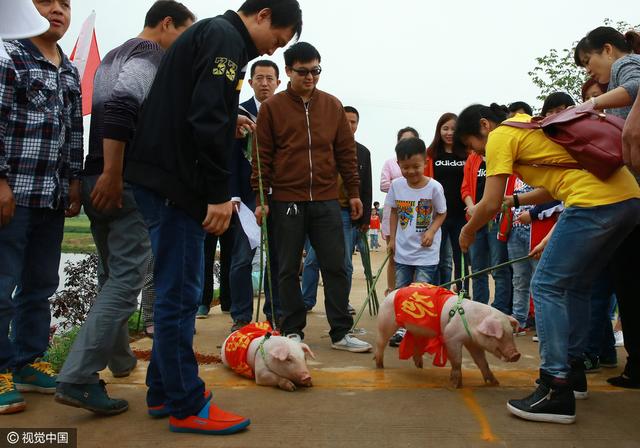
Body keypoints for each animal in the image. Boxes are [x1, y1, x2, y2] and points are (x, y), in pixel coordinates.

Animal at [376, 288, 520, 388]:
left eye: (511, 333)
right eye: (500, 336)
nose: (516, 355)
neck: (472, 323)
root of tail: (390, 293)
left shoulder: (473, 342)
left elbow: (482, 362)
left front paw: (495, 383)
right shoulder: (451, 337)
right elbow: (456, 361)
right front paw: (457, 385)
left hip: (416, 330)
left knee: (416, 345)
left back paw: (420, 366)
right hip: (385, 321)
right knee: (381, 342)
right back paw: (380, 366)